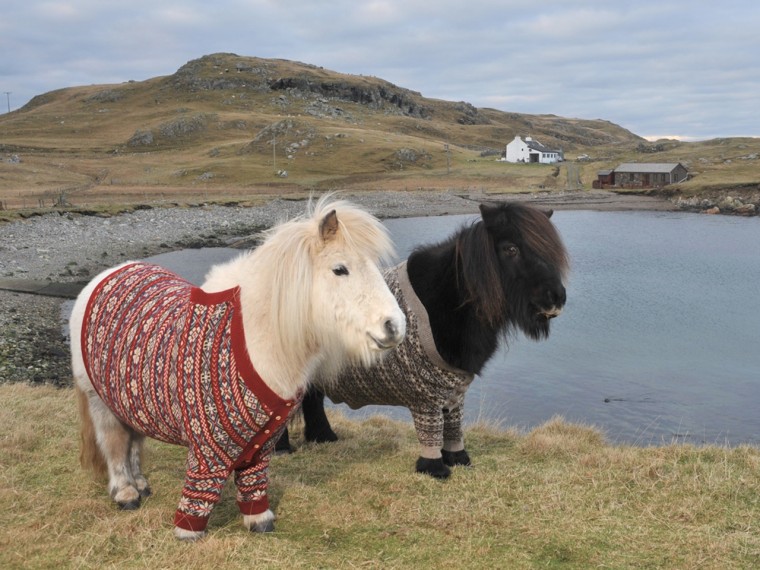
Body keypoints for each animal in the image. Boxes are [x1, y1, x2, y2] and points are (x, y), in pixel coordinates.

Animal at [68, 195, 406, 536]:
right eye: (340, 269)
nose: (395, 326)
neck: (253, 340)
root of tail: (104, 276)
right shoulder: (206, 448)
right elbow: (201, 487)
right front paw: (188, 530)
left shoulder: (262, 444)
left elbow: (253, 481)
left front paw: (259, 520)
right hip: (101, 402)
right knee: (114, 444)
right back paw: (126, 493)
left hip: (131, 402)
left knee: (134, 442)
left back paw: (141, 485)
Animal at [282, 202, 568, 478]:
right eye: (511, 248)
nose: (556, 297)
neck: (447, 301)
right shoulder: (426, 395)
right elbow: (431, 430)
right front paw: (434, 468)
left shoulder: (454, 391)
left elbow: (453, 426)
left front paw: (458, 459)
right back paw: (284, 449)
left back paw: (324, 438)